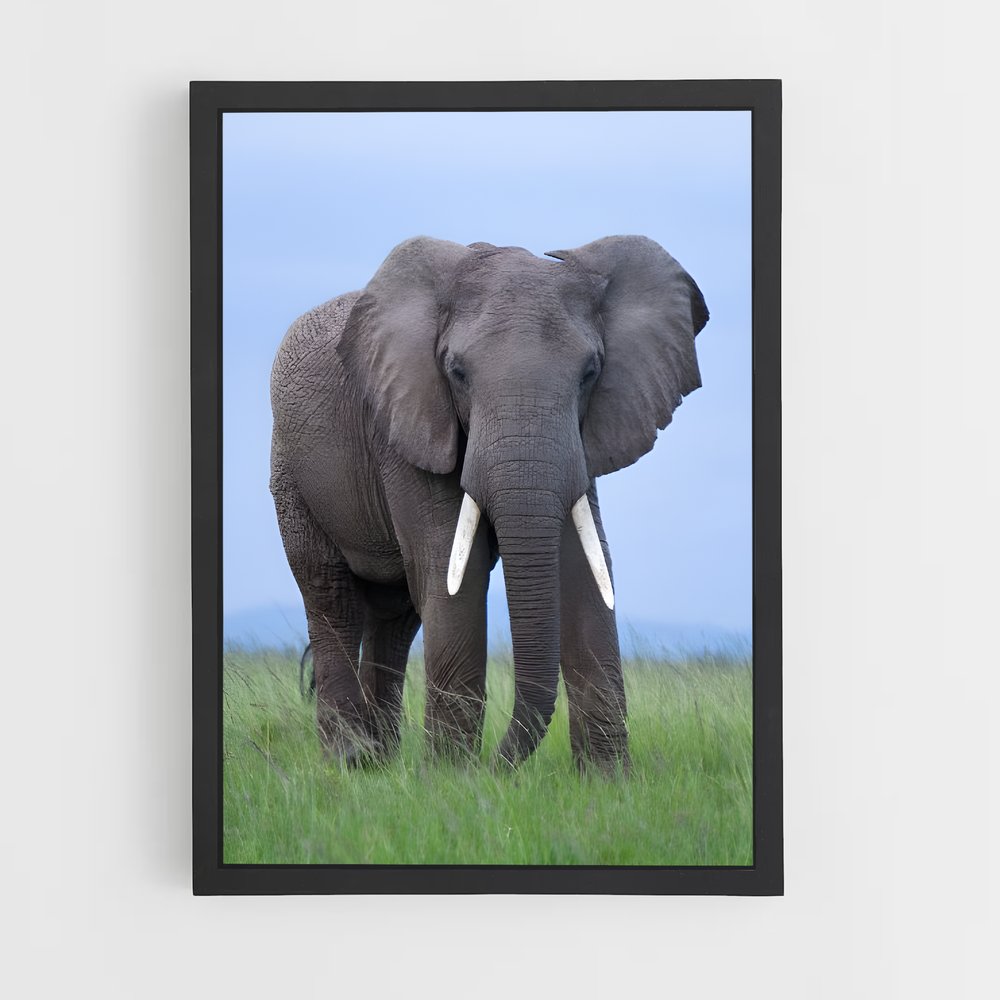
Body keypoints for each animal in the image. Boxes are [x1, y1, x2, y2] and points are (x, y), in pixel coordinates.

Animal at [269, 235, 708, 770]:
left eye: (590, 373)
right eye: (457, 372)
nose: (496, 768)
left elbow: (584, 567)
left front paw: (608, 781)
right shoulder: (405, 424)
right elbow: (452, 565)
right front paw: (450, 779)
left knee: (394, 616)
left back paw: (382, 763)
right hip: (291, 472)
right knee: (331, 595)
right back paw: (350, 761)